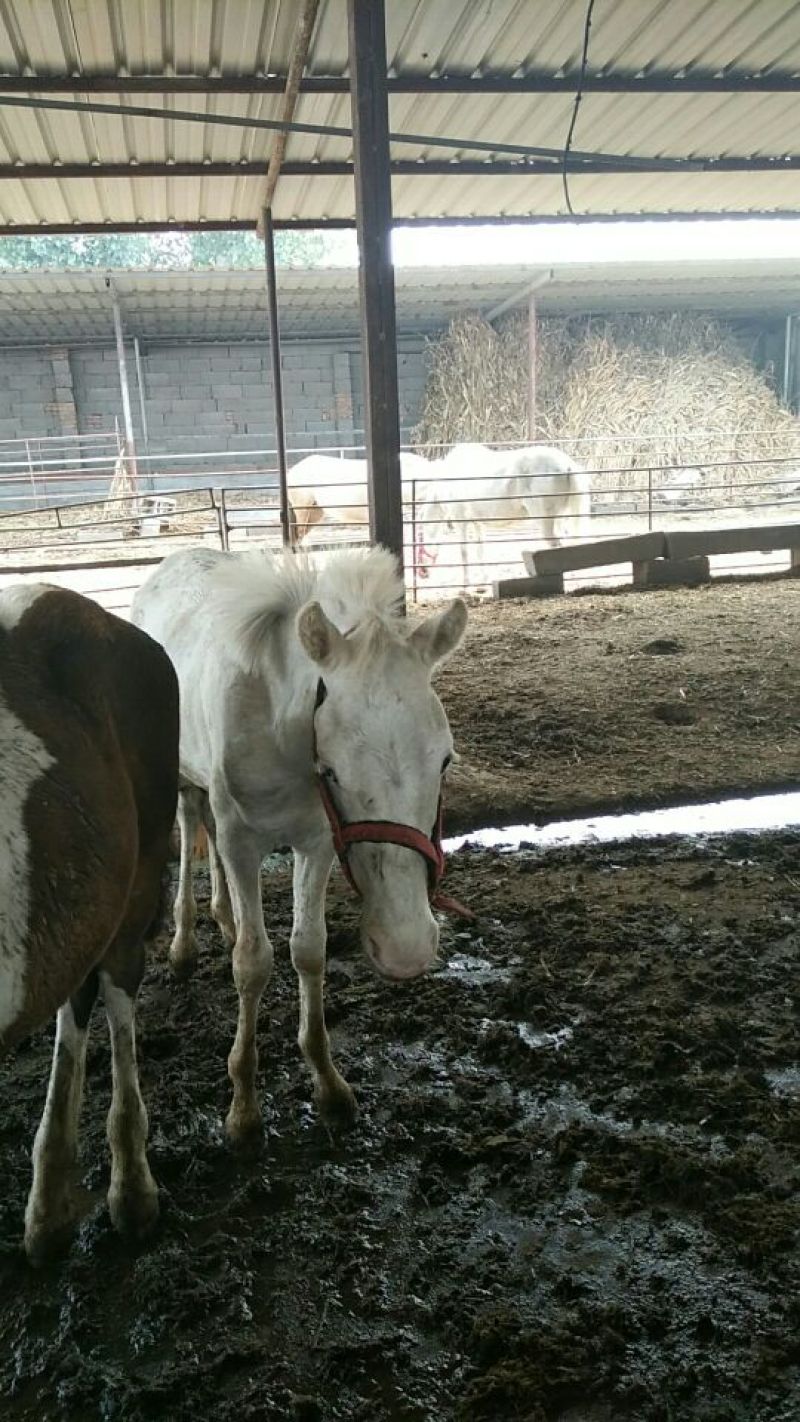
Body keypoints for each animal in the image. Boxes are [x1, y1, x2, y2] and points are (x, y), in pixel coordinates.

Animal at [132, 546, 467, 1144]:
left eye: (445, 760)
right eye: (330, 770)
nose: (405, 949)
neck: (278, 730)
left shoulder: (316, 842)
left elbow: (308, 949)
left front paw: (328, 1085)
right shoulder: (244, 842)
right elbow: (252, 963)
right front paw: (243, 1108)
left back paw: (224, 916)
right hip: (181, 776)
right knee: (191, 822)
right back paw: (187, 942)